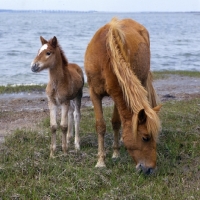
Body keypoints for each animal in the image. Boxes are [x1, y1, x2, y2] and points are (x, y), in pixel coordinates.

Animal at [84, 17, 161, 173]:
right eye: (145, 138)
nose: (151, 169)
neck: (105, 56)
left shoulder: (118, 93)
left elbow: (116, 122)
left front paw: (115, 153)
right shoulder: (94, 93)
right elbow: (100, 126)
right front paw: (101, 161)